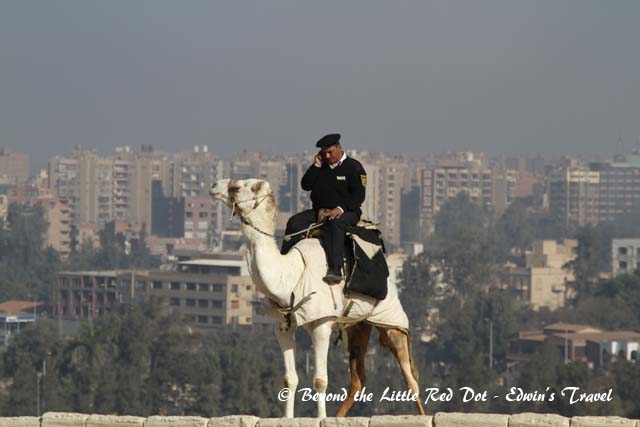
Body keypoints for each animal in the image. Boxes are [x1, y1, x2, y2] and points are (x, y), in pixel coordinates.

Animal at [210, 178, 425, 418]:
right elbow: (289, 379)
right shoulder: (283, 325)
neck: (292, 276)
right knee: (358, 379)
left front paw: (321, 417)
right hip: (357, 326)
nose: (215, 185)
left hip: (390, 318)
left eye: (241, 187)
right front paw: (287, 417)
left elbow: (320, 380)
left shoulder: (322, 323)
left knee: (410, 376)